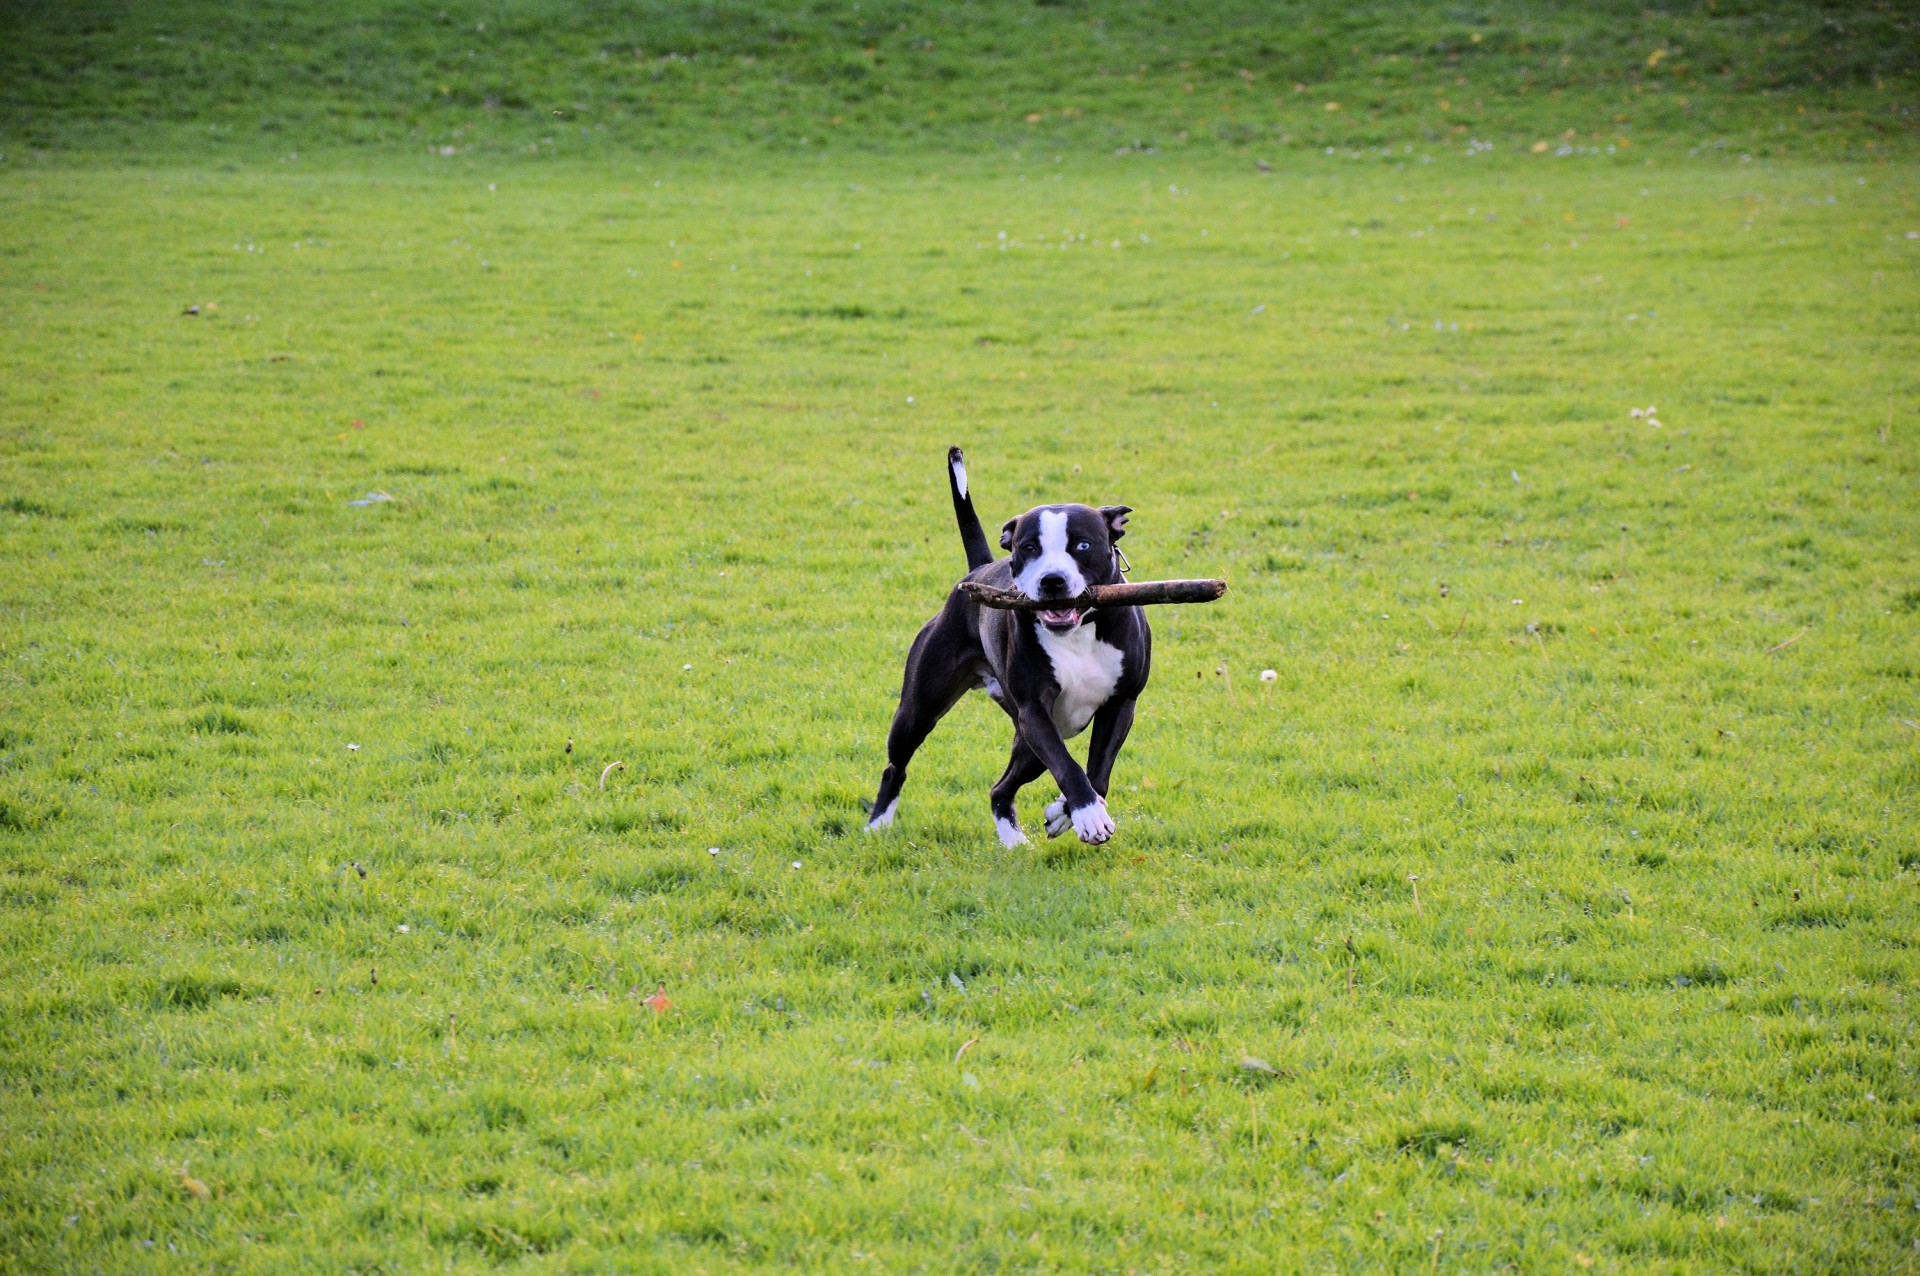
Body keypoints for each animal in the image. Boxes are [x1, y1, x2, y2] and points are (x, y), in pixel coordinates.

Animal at [871, 447, 1152, 844]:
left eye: (1082, 545)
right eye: (1029, 548)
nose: (1052, 580)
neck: (1078, 631)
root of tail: (978, 571)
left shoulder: (1121, 705)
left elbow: (1097, 771)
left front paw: (1066, 814)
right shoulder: (1035, 710)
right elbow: (1067, 765)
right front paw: (1087, 813)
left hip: (1027, 742)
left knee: (1000, 788)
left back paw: (1014, 841)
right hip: (920, 710)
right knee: (896, 765)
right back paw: (877, 825)